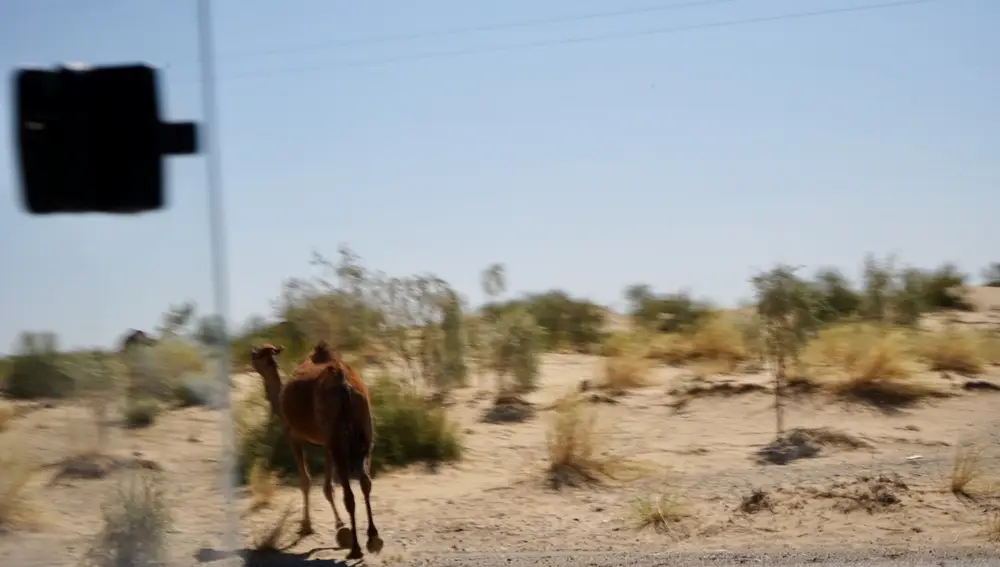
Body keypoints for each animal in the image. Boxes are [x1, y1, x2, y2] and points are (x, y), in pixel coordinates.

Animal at [250, 342, 382, 560]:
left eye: (258, 354)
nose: (250, 353)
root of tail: (344, 384)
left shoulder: (293, 436)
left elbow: (306, 481)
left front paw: (307, 526)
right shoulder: (325, 444)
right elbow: (328, 487)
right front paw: (340, 526)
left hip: (337, 437)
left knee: (349, 493)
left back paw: (355, 549)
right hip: (365, 432)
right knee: (365, 481)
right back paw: (373, 539)